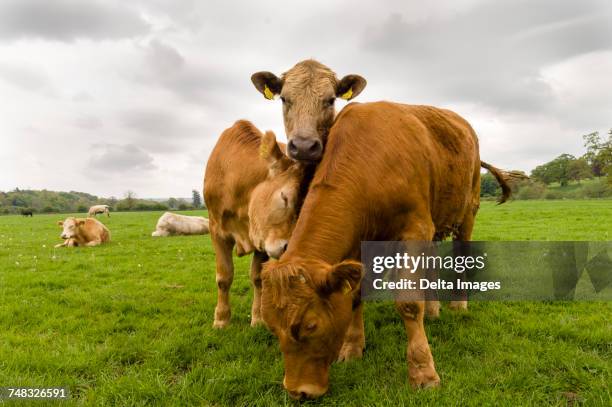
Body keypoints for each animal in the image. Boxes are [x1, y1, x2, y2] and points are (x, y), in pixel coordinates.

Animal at [206, 120, 310, 328]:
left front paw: (258, 317)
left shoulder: (263, 238)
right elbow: (224, 277)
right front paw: (221, 319)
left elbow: (257, 278)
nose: (287, 247)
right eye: (284, 197)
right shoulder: (216, 230)